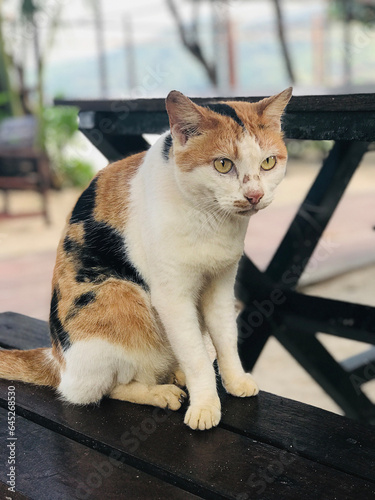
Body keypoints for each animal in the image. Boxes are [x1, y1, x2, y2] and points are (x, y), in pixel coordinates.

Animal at [0, 89, 294, 430]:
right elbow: (195, 356)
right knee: (101, 390)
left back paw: (175, 375)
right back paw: (161, 392)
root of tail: (56, 359)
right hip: (118, 294)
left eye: (268, 162)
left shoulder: (221, 284)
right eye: (223, 164)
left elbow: (226, 338)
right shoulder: (172, 297)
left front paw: (235, 381)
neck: (212, 220)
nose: (254, 195)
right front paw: (205, 405)